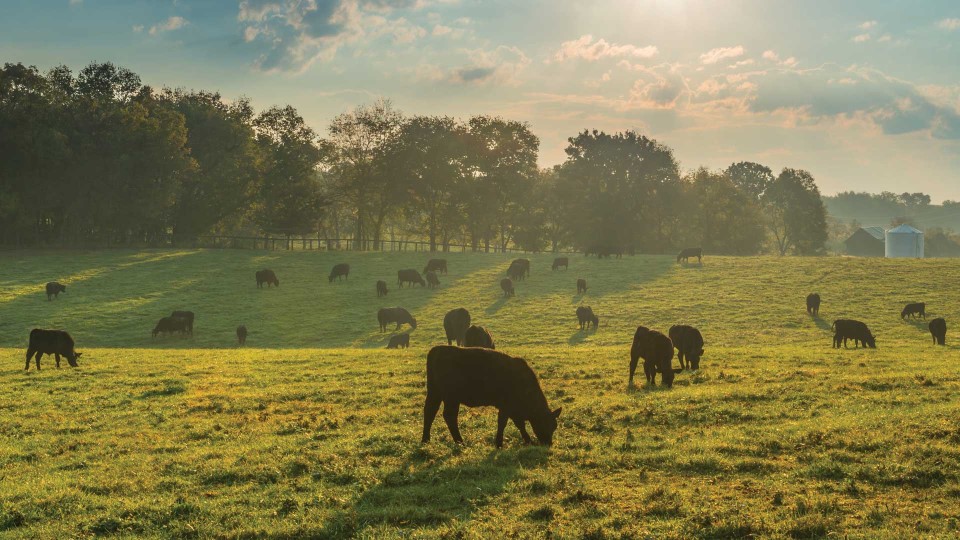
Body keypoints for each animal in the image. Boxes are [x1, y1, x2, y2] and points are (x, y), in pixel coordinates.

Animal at [422, 346, 564, 448]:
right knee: (449, 416)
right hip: (451, 398)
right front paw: (499, 444)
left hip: (435, 393)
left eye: (554, 426)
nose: (548, 443)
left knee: (430, 412)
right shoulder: (506, 406)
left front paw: (527, 440)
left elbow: (520, 425)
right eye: (544, 423)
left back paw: (426, 440)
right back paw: (460, 442)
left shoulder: (513, 409)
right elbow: (503, 423)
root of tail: (437, 350)